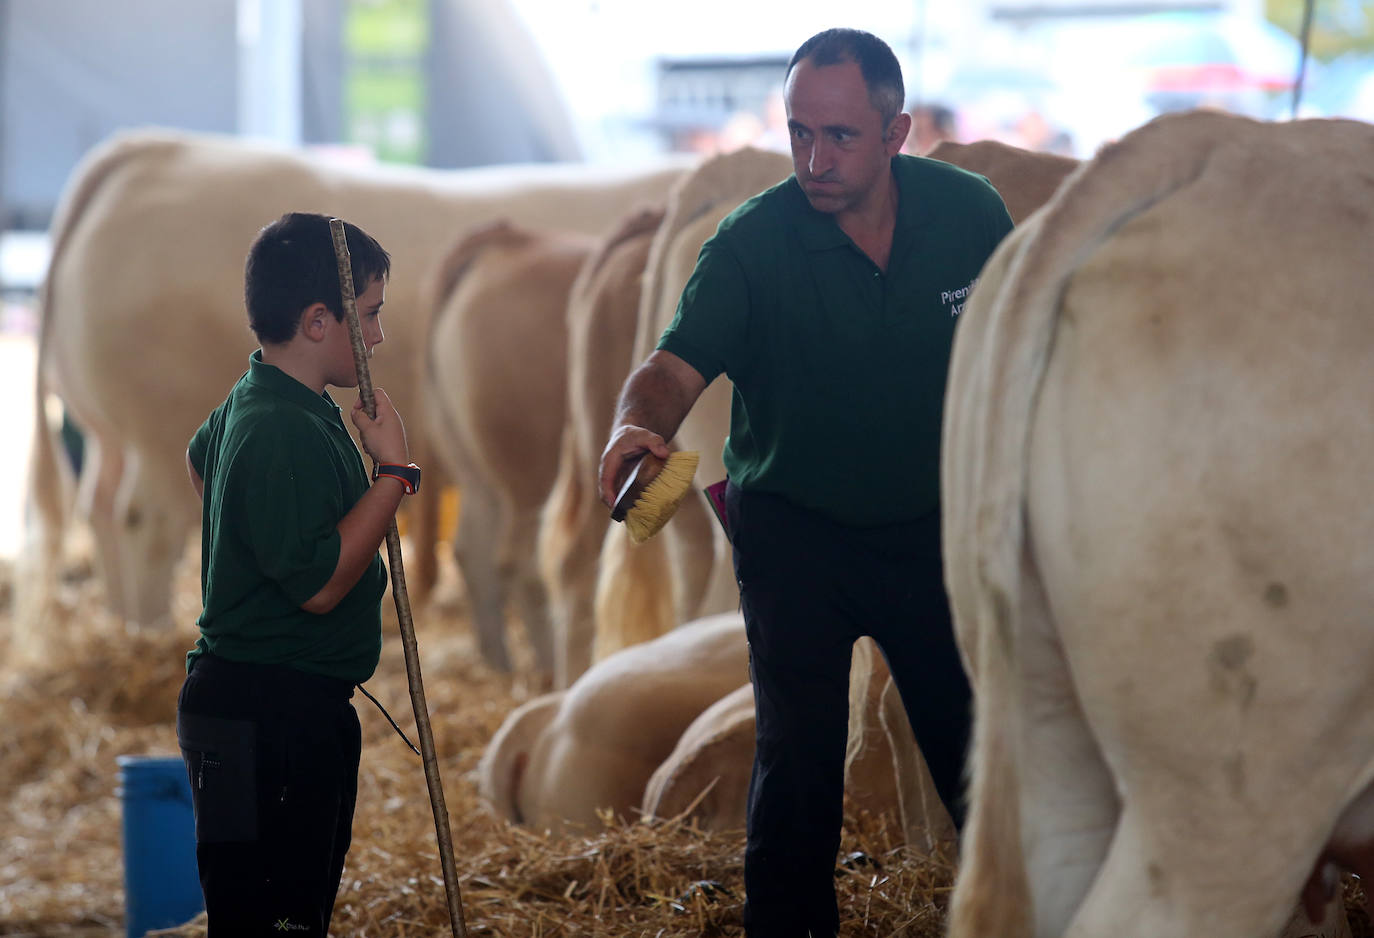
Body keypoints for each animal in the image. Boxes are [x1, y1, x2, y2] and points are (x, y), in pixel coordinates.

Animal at [18, 128, 684, 648]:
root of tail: (145, 150)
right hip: (156, 430)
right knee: (146, 522)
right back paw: (151, 636)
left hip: (108, 431)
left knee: (101, 506)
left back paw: (121, 629)